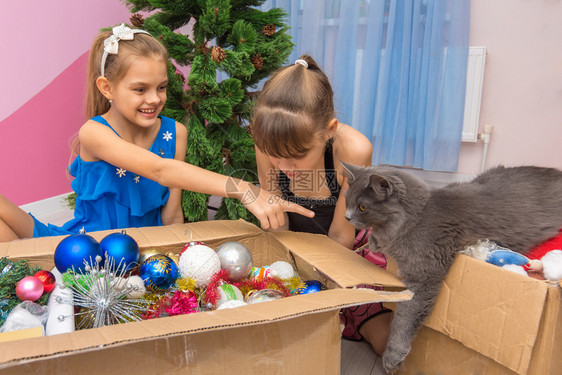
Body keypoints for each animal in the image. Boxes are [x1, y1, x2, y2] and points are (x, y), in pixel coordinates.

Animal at [340, 164, 560, 374]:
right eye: (347, 201)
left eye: (362, 207)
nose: (346, 217)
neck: (416, 218)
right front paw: (374, 241)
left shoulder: (423, 276)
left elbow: (405, 318)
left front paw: (392, 358)